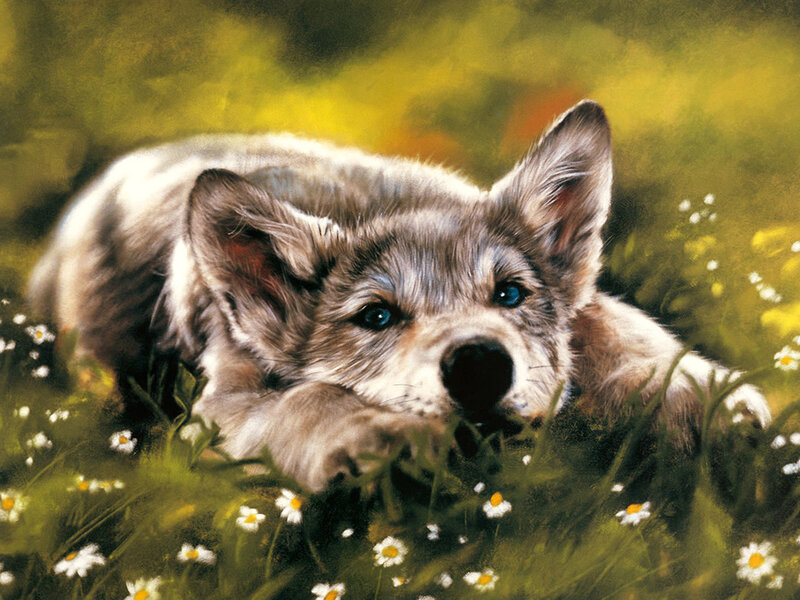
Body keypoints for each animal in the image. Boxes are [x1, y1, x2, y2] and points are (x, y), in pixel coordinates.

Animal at [29, 100, 771, 490]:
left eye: (510, 293)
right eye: (376, 316)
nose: (479, 365)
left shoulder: (583, 306)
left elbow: (613, 323)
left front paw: (695, 393)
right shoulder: (224, 402)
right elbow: (307, 399)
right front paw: (374, 435)